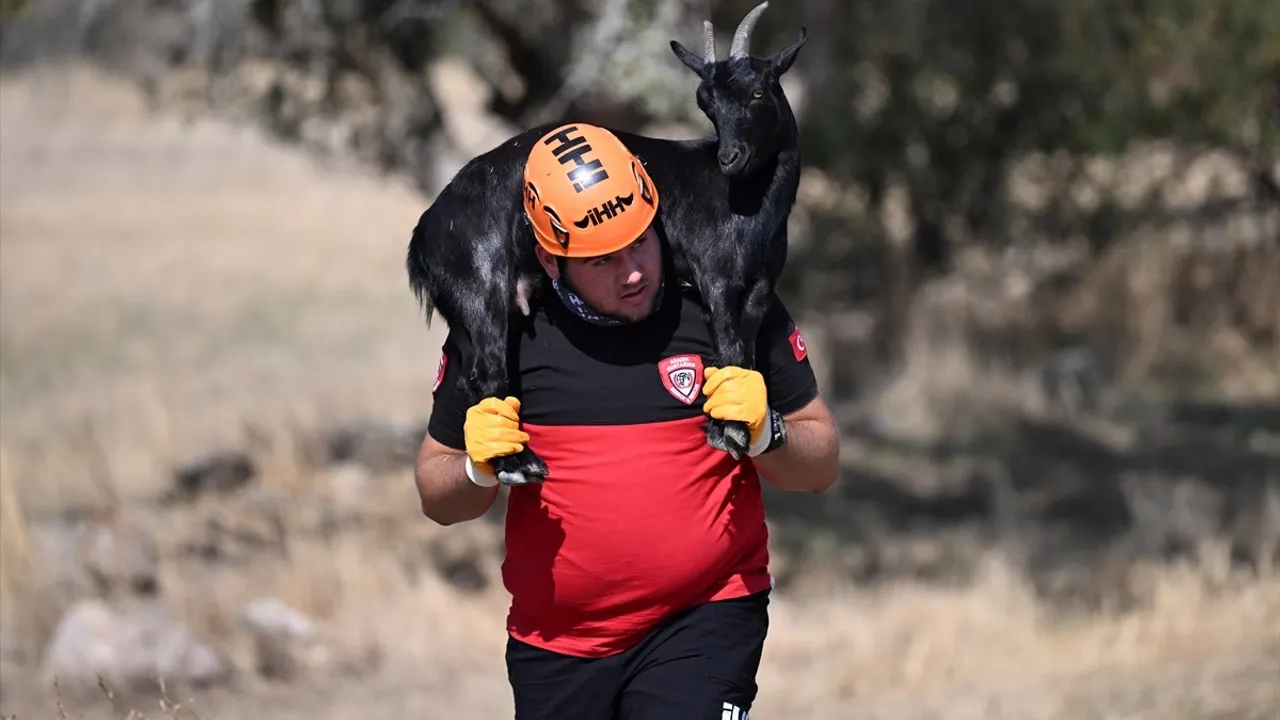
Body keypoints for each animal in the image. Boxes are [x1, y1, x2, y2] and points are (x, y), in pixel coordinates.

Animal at [409, 2, 803, 481]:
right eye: (705, 102)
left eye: (758, 92)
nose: (731, 157)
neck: (750, 205)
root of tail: (425, 235)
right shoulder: (716, 275)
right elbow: (728, 347)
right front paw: (728, 432)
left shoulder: (761, 286)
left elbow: (745, 356)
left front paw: (736, 421)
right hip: (479, 292)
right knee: (483, 374)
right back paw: (519, 464)